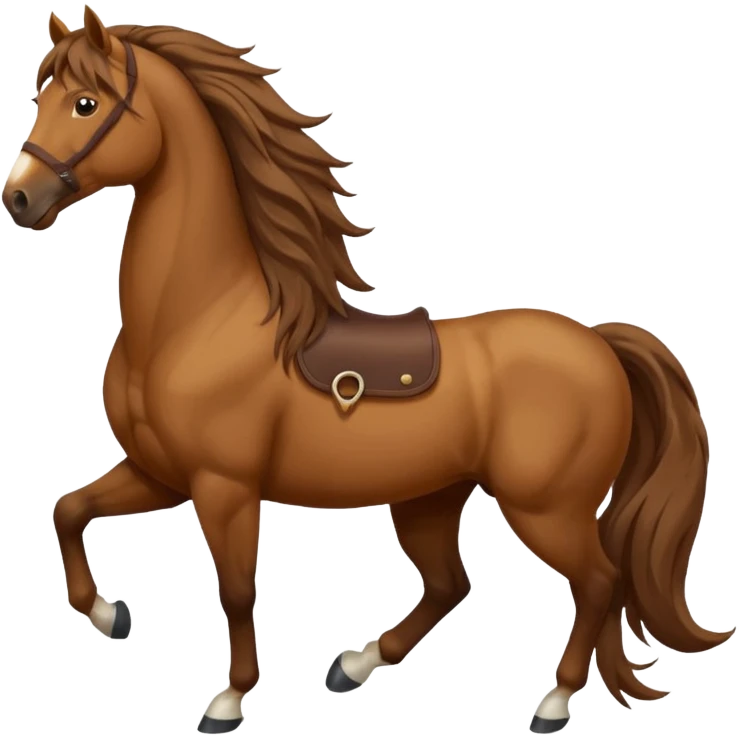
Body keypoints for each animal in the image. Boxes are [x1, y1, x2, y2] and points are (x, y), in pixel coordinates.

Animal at [4, 7, 732, 735]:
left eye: (85, 103)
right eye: (40, 97)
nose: (19, 199)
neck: (200, 318)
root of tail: (599, 343)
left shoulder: (223, 485)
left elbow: (237, 589)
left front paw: (227, 700)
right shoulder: (160, 472)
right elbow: (68, 509)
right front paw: (111, 613)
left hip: (545, 508)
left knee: (598, 581)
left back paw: (553, 701)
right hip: (429, 498)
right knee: (452, 583)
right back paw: (355, 665)